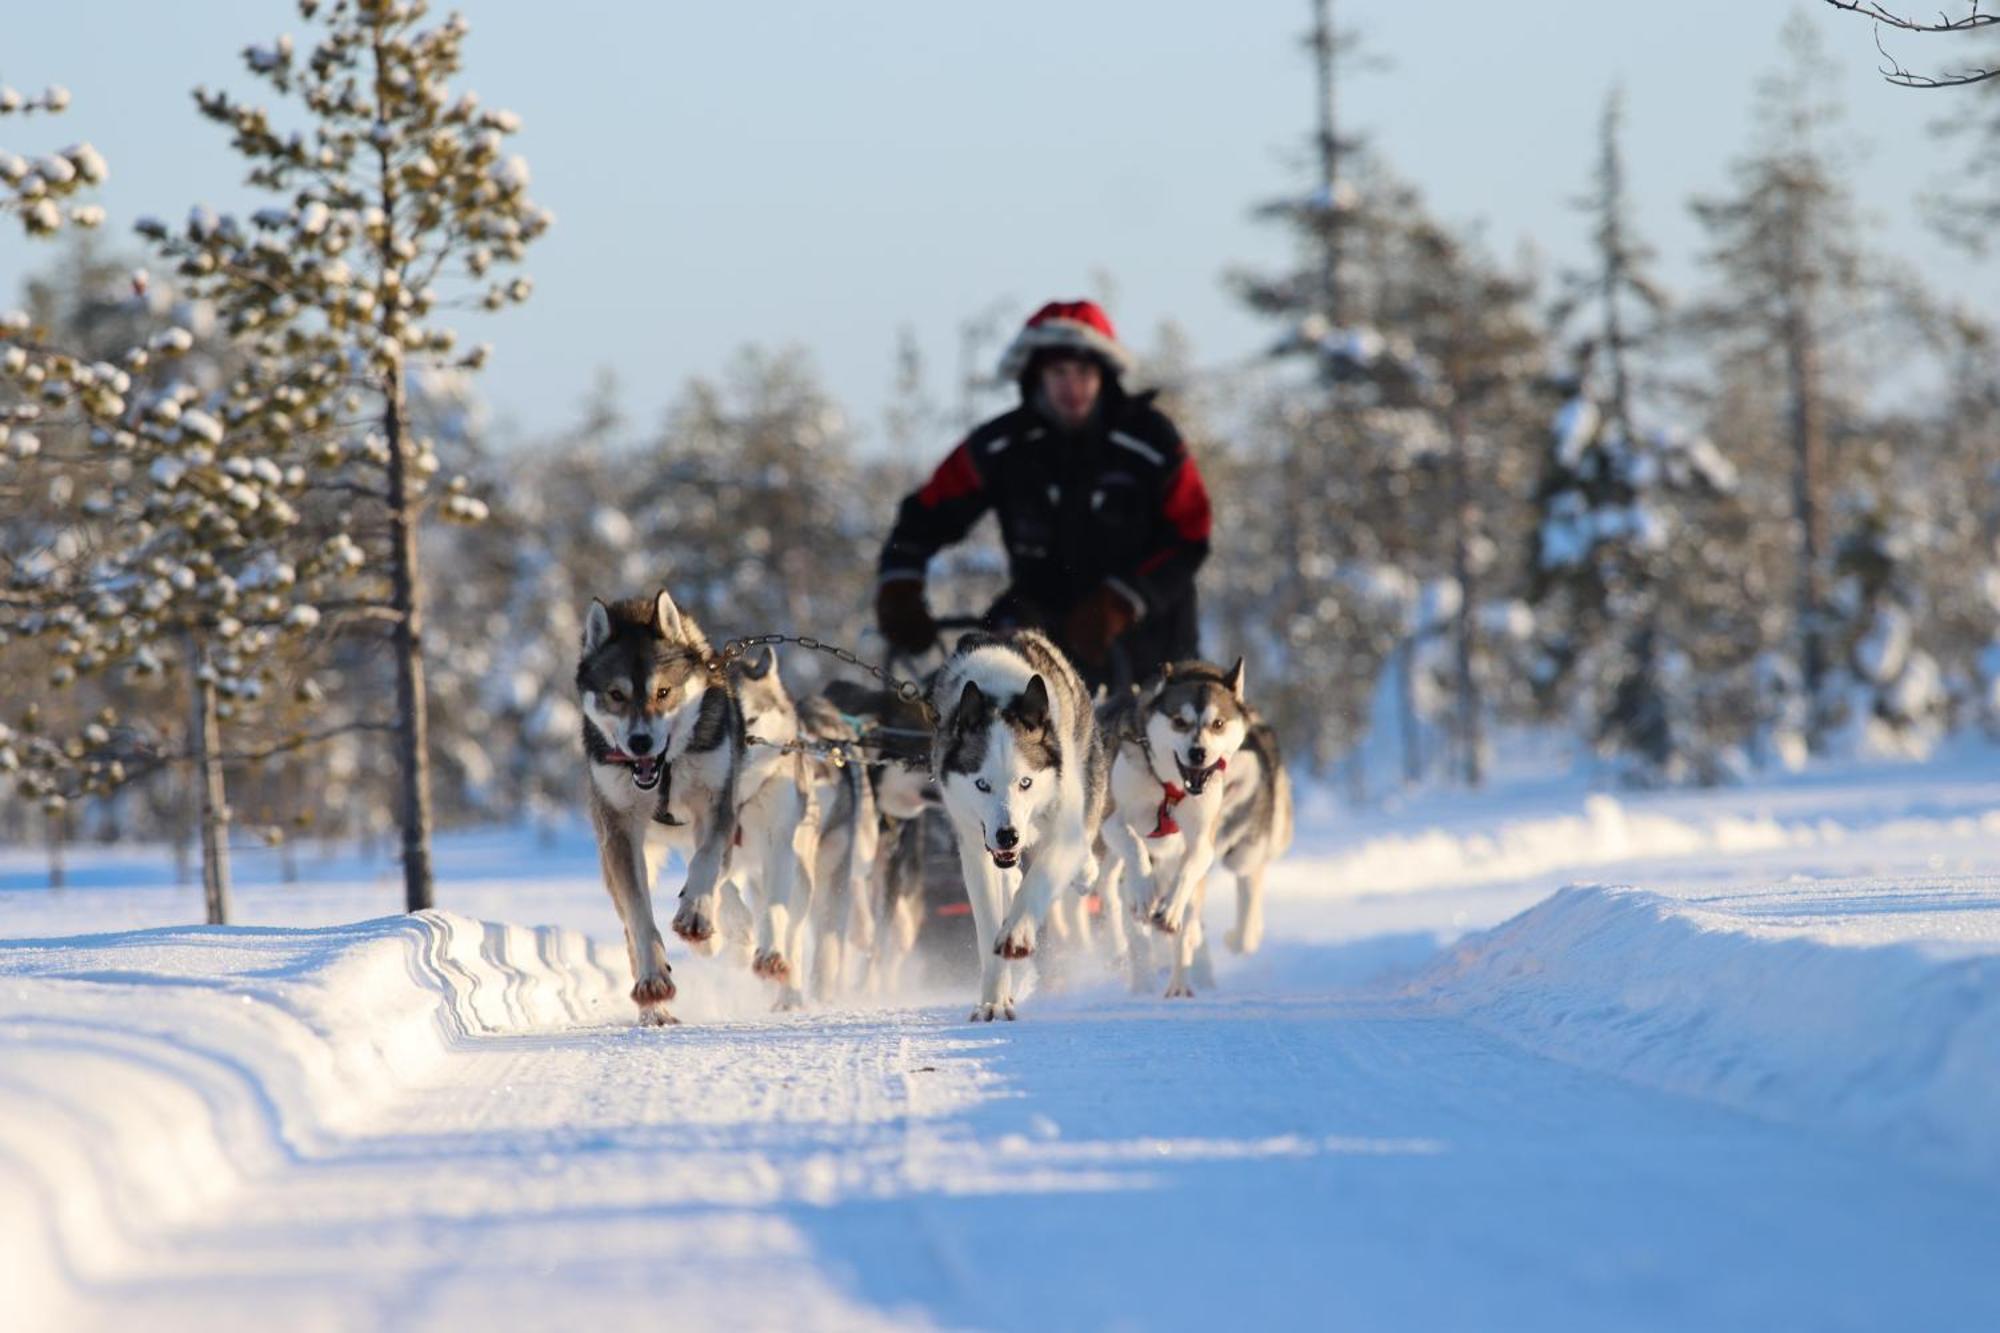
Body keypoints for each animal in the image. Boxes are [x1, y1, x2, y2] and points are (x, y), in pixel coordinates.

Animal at [924, 628, 1104, 1020]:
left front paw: (1017, 933)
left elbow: (1038, 882)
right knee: (1011, 879)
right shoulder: (975, 848)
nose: (1008, 836)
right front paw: (993, 998)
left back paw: (1084, 871)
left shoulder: (1063, 830)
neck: (997, 693)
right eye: (982, 784)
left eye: (1026, 782)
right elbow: (989, 922)